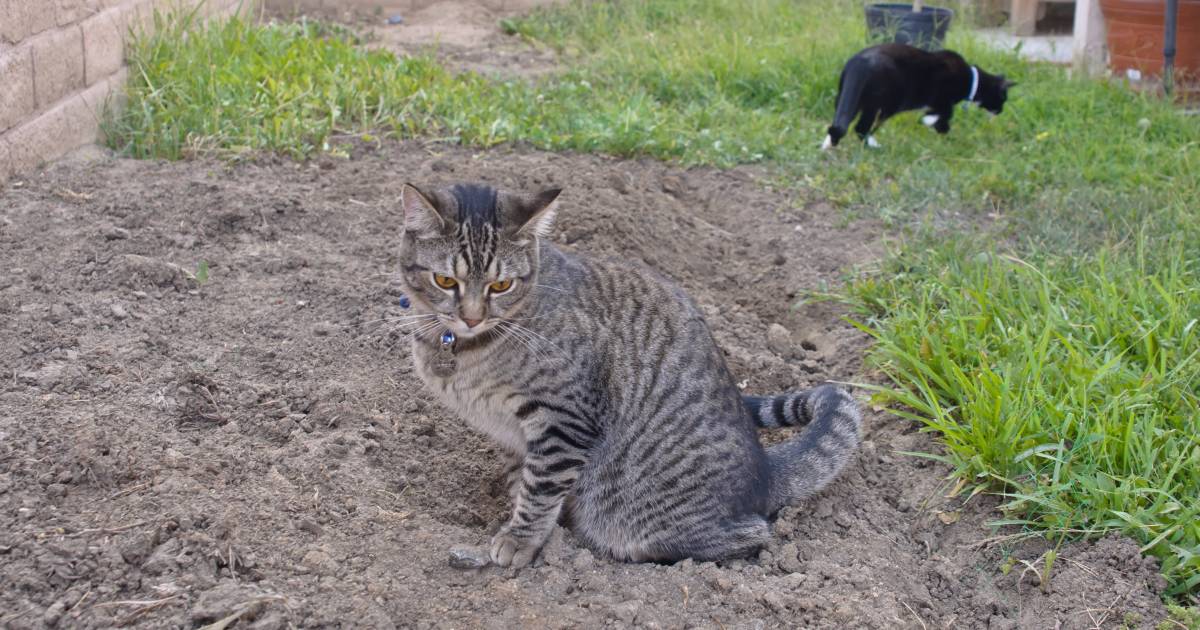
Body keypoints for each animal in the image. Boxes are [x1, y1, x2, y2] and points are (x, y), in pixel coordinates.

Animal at [400, 180, 864, 564]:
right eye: (445, 281)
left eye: (501, 286)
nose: (472, 317)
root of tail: (765, 472)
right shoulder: (517, 434)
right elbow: (524, 480)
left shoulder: (563, 419)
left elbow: (540, 487)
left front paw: (521, 539)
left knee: (753, 534)